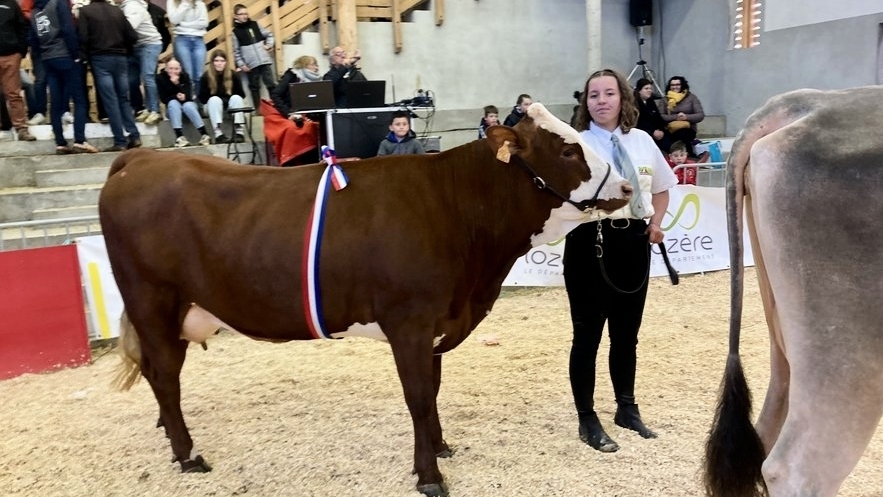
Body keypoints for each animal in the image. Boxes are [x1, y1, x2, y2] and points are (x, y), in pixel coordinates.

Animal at [100, 103, 632, 497]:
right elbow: (418, 398)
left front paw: (441, 448)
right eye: (568, 149)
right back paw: (188, 455)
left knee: (160, 378)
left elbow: (433, 393)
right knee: (164, 378)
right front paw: (429, 477)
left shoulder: (436, 323)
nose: (628, 187)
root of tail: (141, 159)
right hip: (153, 303)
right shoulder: (410, 322)